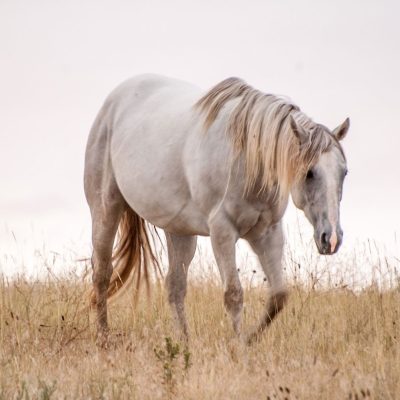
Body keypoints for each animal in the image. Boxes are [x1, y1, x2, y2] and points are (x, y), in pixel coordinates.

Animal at [84, 75, 350, 344]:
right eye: (309, 173)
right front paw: (237, 345)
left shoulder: (268, 233)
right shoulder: (222, 232)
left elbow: (278, 295)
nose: (331, 238)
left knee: (175, 287)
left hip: (179, 231)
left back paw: (184, 343)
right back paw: (103, 336)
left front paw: (248, 339)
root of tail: (115, 99)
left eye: (344, 172)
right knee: (102, 273)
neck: (246, 158)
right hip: (106, 209)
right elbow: (233, 294)